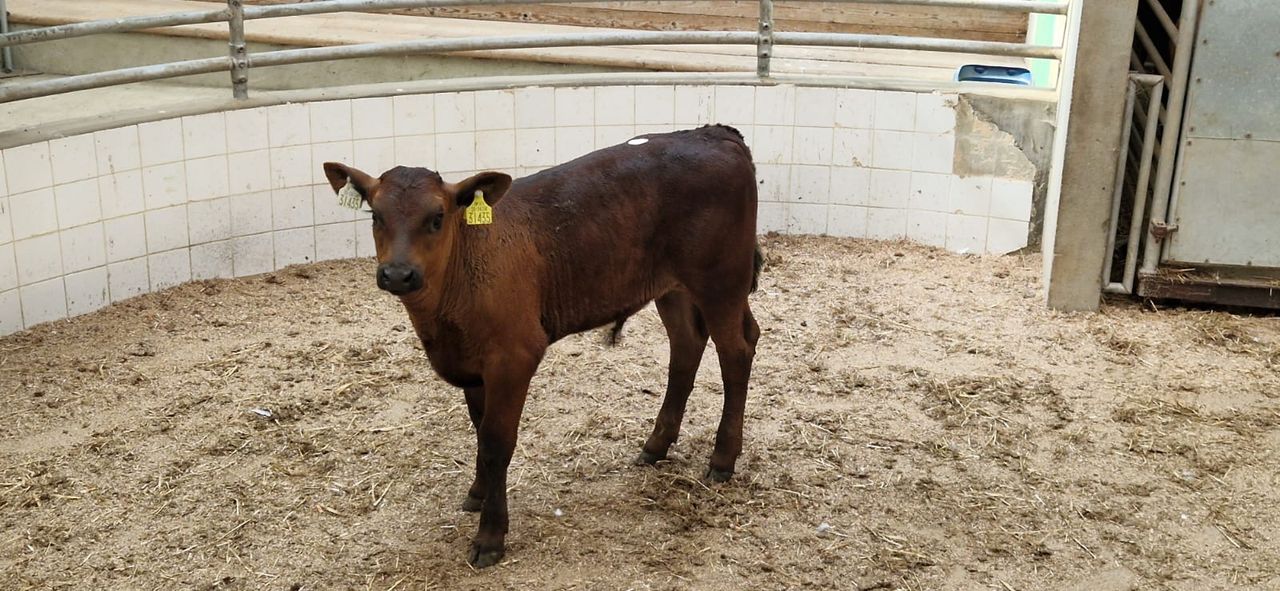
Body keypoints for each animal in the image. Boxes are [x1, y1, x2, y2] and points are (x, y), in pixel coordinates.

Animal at [321, 124, 762, 568]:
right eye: (376, 215)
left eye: (437, 218)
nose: (398, 274)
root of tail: (711, 133)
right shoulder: (473, 365)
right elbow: (479, 431)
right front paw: (479, 492)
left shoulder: (513, 356)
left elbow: (496, 442)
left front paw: (491, 535)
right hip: (672, 286)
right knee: (686, 346)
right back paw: (656, 445)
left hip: (722, 280)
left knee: (736, 351)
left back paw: (723, 458)